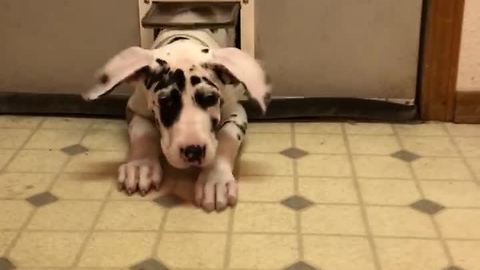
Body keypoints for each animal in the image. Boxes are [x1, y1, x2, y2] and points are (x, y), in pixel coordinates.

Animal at [82, 8, 270, 212]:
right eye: (164, 101)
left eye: (210, 98)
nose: (193, 151)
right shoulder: (135, 108)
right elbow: (142, 132)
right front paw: (141, 165)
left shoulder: (236, 111)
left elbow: (227, 137)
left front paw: (215, 179)